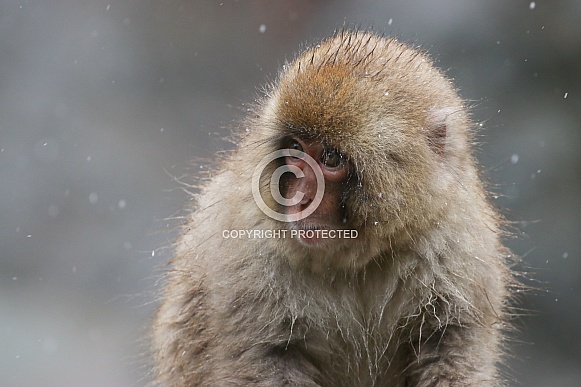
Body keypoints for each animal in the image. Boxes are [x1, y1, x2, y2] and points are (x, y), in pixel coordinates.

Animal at [153, 31, 512, 387]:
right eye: (295, 147)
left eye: (331, 158)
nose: (297, 198)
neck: (356, 258)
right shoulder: (245, 258)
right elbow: (266, 359)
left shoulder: (459, 247)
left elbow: (451, 351)